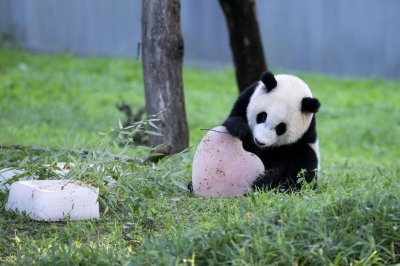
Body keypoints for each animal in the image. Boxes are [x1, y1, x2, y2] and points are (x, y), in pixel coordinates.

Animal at [191, 71, 322, 195]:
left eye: (281, 128)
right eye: (263, 116)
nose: (260, 141)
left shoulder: (302, 139)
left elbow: (303, 167)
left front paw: (271, 183)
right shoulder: (244, 102)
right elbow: (232, 120)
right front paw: (239, 128)